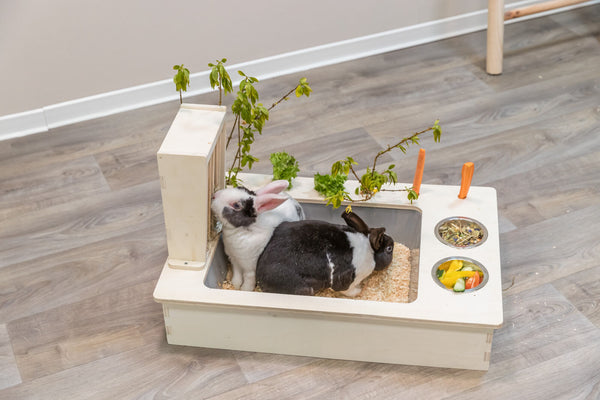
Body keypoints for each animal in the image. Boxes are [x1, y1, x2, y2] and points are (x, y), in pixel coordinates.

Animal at [256, 209, 394, 296]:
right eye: (389, 249)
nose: (392, 243)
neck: (368, 248)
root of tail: (259, 275)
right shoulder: (346, 279)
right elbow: (346, 290)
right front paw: (359, 291)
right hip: (304, 289)